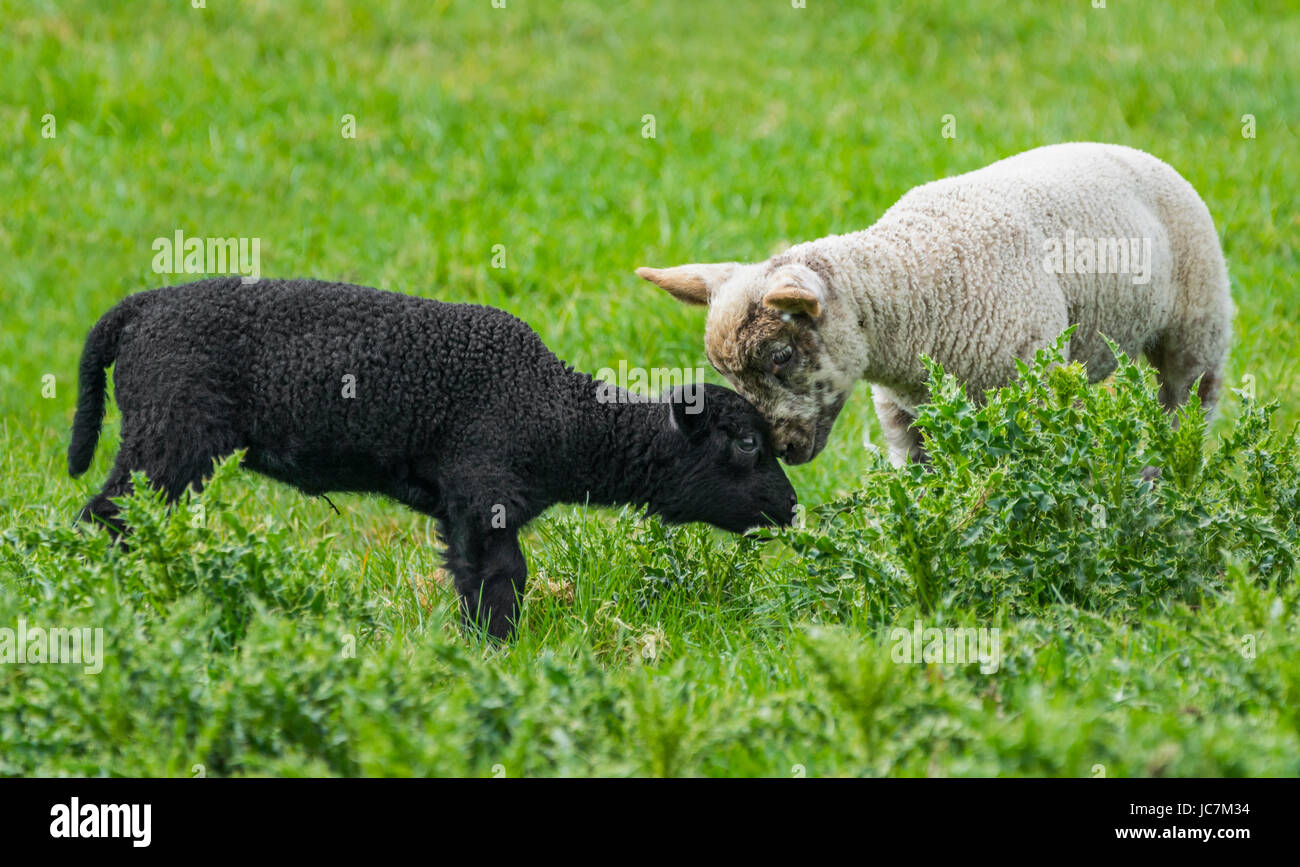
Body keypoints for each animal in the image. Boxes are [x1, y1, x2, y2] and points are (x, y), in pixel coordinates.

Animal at [73, 278, 800, 636]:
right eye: (746, 443)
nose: (792, 508)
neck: (562, 416)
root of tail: (137, 310)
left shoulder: (461, 506)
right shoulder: (482, 494)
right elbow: (501, 579)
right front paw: (495, 651)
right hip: (168, 436)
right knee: (108, 517)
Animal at [634, 142, 1232, 467]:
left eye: (781, 355)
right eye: (724, 374)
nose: (777, 449)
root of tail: (1135, 152)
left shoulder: (1026, 390)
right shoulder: (906, 416)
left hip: (1197, 329)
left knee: (1186, 408)